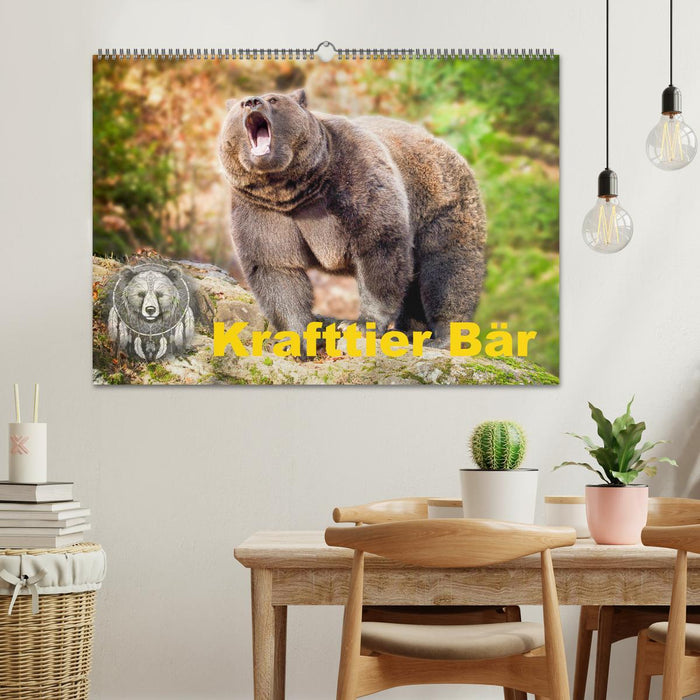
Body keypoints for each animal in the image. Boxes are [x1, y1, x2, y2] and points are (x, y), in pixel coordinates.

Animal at [217, 88, 486, 349]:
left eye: (274, 99)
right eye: (241, 103)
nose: (252, 102)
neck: (293, 189)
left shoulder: (353, 179)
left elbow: (377, 248)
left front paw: (359, 325)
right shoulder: (261, 209)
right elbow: (276, 267)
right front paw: (297, 339)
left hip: (441, 205)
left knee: (447, 270)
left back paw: (444, 337)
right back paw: (409, 331)